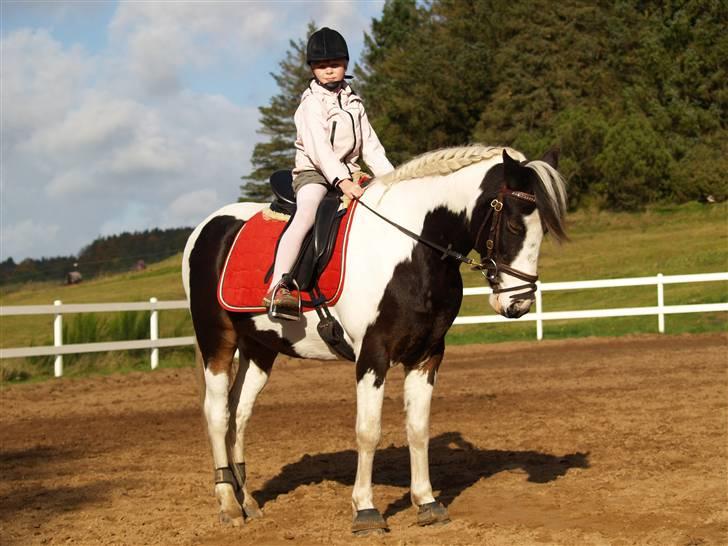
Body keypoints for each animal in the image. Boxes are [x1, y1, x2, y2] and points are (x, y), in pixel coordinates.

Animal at [181, 145, 567, 534]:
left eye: (545, 229)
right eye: (515, 225)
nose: (519, 304)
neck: (411, 248)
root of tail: (207, 227)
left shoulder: (427, 356)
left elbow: (418, 429)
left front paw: (426, 502)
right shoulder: (373, 355)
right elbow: (369, 431)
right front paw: (366, 511)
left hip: (260, 348)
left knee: (239, 413)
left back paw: (248, 502)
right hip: (217, 340)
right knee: (218, 413)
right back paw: (229, 505)